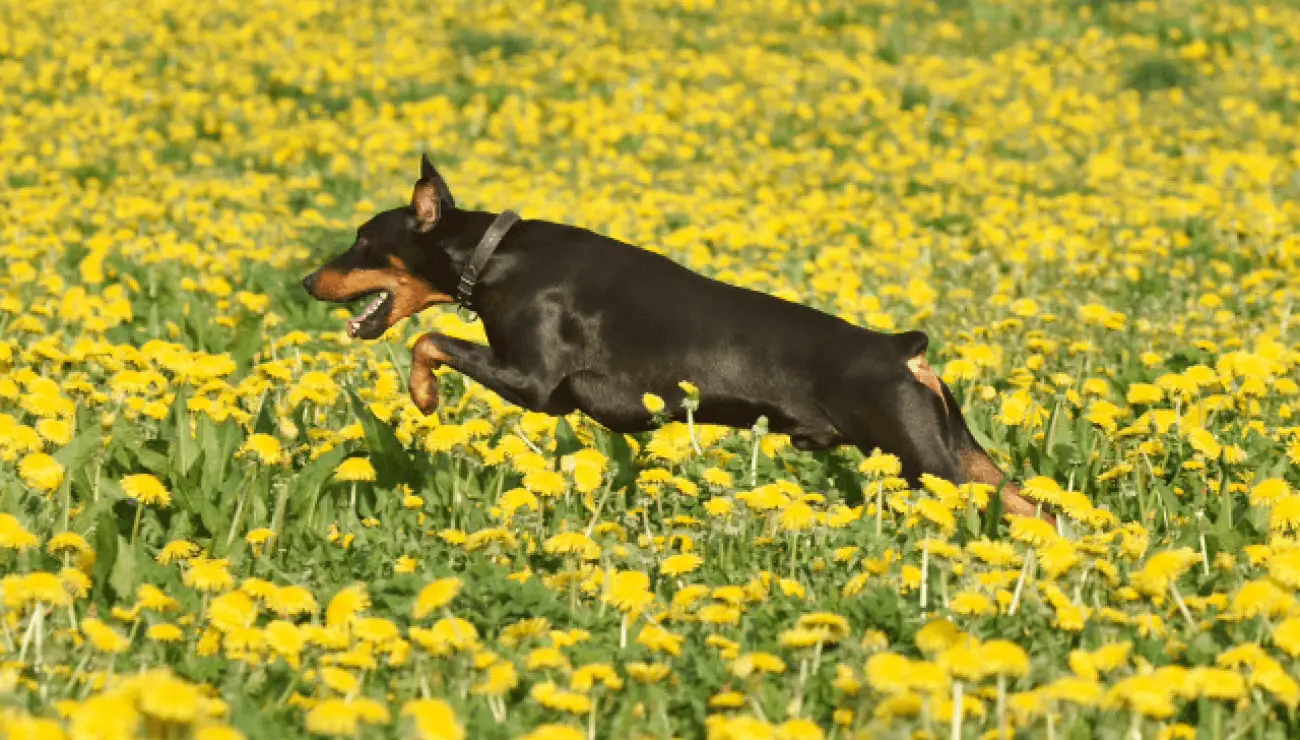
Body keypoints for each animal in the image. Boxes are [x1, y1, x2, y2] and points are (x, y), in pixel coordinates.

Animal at [299, 154, 1040, 520]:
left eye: (362, 240)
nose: (306, 281)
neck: (494, 254)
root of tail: (901, 348)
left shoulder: (532, 383)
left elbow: (430, 342)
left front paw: (423, 398)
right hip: (959, 454)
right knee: (1039, 511)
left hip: (926, 461)